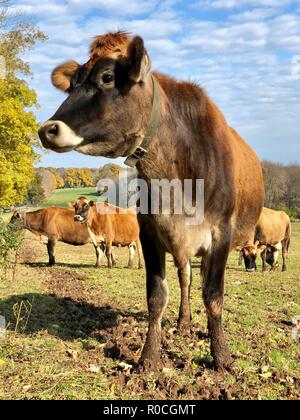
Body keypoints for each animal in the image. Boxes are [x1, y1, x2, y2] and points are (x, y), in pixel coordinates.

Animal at [38, 30, 264, 370]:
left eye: (107, 77)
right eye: (74, 81)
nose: (47, 129)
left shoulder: (221, 234)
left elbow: (213, 295)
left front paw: (222, 357)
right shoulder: (150, 232)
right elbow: (156, 296)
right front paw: (148, 358)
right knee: (185, 279)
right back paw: (183, 323)